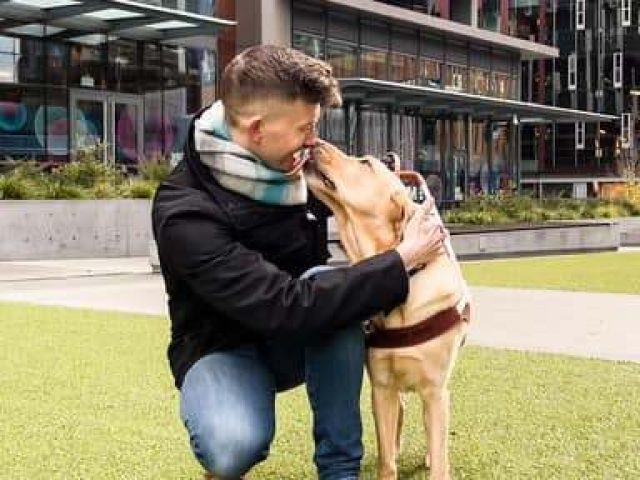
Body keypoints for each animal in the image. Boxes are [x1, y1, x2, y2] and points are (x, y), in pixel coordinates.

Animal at [304, 141, 470, 478]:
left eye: (365, 163)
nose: (314, 142)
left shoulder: (435, 391)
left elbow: (439, 456)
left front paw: (436, 461)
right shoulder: (381, 386)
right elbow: (386, 460)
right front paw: (389, 457)